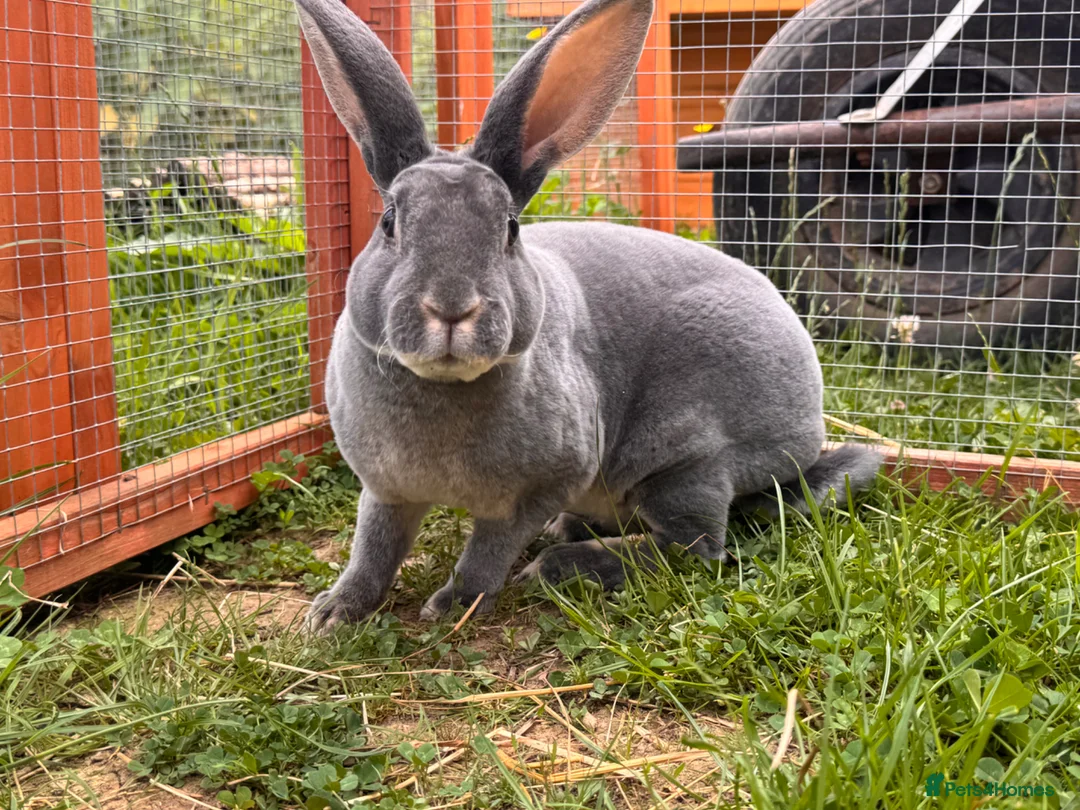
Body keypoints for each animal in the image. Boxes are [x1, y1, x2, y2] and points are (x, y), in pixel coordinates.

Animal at [296, 0, 883, 632]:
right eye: (389, 223)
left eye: (510, 229)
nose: (452, 307)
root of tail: (810, 430)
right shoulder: (387, 490)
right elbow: (374, 546)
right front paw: (333, 612)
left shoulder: (537, 488)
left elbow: (488, 551)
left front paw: (454, 604)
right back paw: (566, 534)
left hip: (688, 460)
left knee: (694, 547)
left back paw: (561, 565)